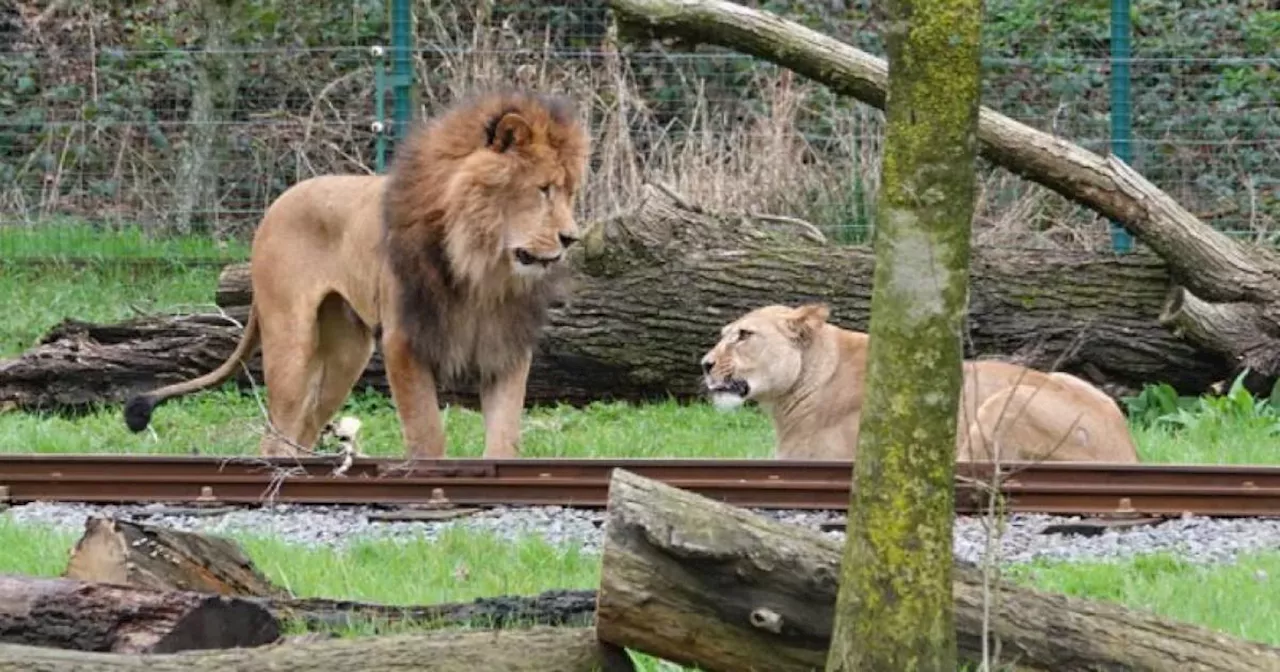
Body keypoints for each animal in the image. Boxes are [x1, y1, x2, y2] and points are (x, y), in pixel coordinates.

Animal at [122, 90, 591, 455]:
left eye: (570, 192)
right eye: (543, 190)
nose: (572, 238)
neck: (482, 269)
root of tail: (276, 204)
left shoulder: (504, 347)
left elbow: (505, 438)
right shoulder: (404, 341)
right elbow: (427, 434)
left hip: (347, 353)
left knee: (304, 431)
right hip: (292, 343)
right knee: (277, 434)